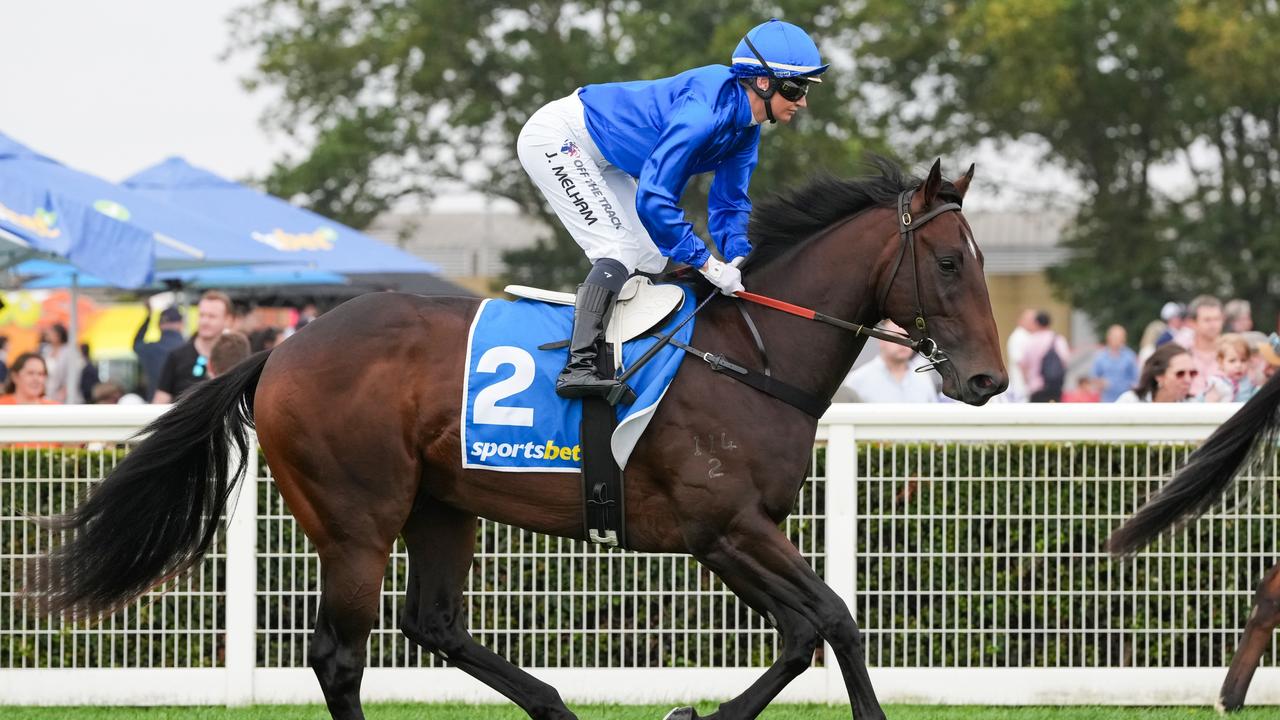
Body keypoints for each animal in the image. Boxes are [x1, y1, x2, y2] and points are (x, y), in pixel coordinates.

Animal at [27, 159, 1008, 717]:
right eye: (948, 262)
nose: (989, 381)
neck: (748, 354)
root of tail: (281, 348)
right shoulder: (724, 527)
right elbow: (833, 621)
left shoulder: (730, 536)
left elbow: (809, 631)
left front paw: (696, 713)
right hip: (355, 519)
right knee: (341, 656)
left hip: (441, 504)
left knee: (434, 623)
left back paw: (556, 707)